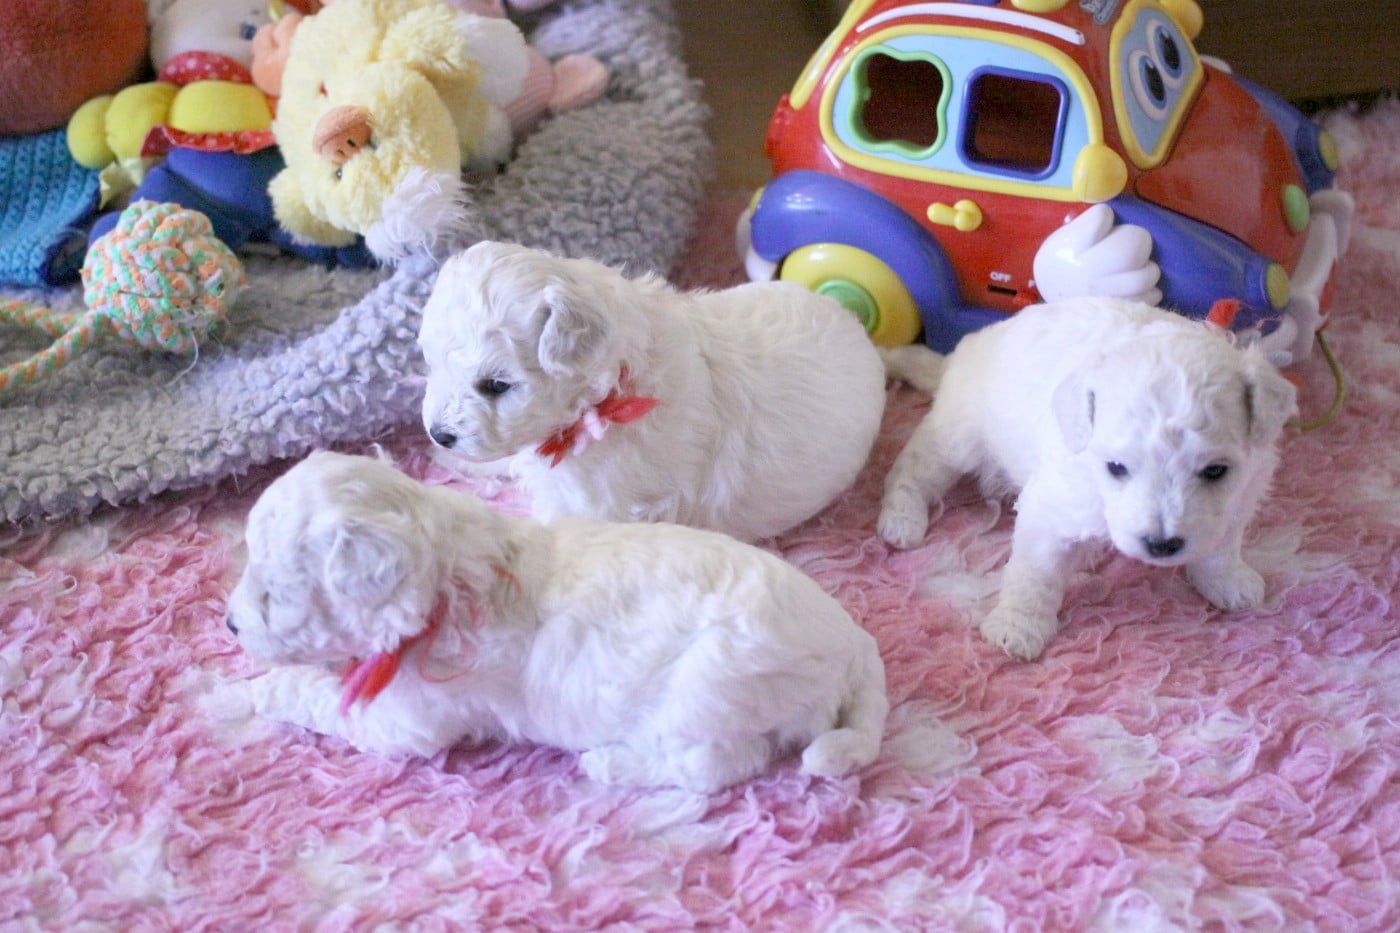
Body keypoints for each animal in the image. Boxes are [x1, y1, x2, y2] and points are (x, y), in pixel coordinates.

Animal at [225, 451, 889, 793]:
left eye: (275, 595)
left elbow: (326, 700)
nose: (229, 624)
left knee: (717, 766)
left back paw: (610, 763)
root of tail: (851, 645)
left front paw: (264, 689)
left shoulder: (409, 719)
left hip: (711, 694)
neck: (444, 569)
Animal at [417, 241, 887, 541]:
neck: (608, 393)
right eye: (430, 363)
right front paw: (450, 460)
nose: (439, 433)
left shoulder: (599, 507)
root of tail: (859, 332)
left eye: (496, 385)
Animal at [877, 297, 1297, 660]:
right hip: (957, 437)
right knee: (914, 468)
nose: (1161, 545)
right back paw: (901, 518)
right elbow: (1035, 572)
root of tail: (960, 354)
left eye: (1215, 471)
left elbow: (1221, 545)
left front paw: (1228, 581)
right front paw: (1017, 627)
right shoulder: (1053, 506)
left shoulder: (1242, 493)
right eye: (1116, 467)